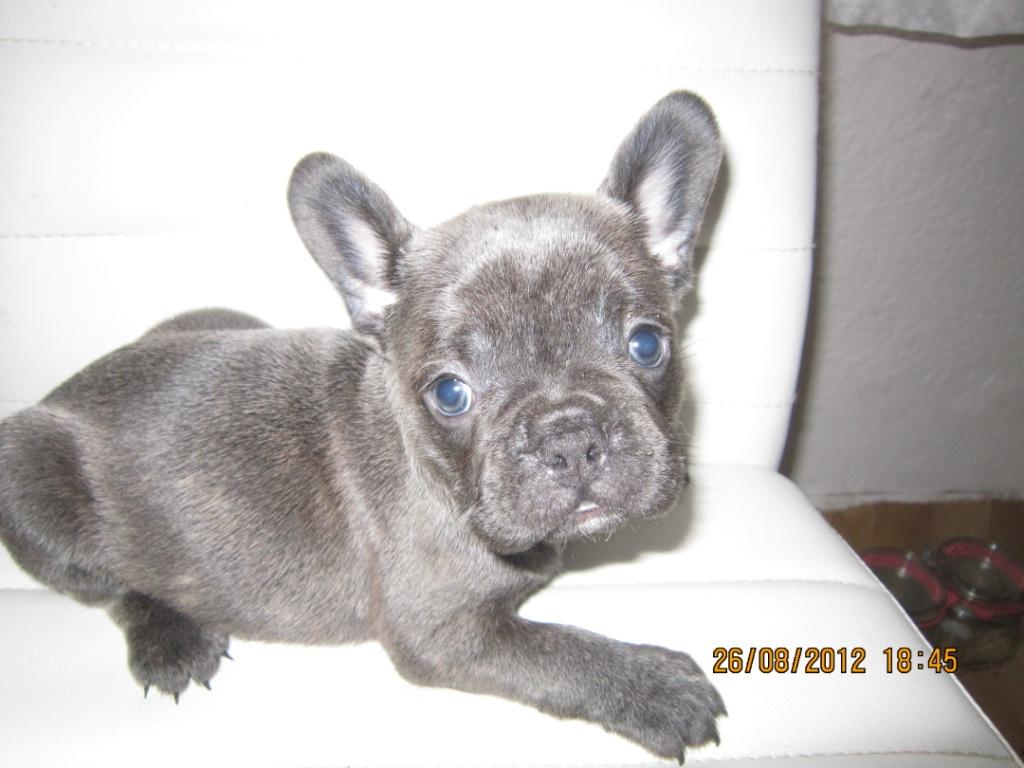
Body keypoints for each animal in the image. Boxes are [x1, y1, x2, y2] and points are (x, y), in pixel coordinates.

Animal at [0, 91, 724, 761]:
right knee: (108, 583)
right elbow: (560, 653)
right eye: (450, 393)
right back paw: (169, 640)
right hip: (30, 472)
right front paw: (656, 687)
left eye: (647, 346)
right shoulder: (442, 632)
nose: (570, 436)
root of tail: (66, 388)